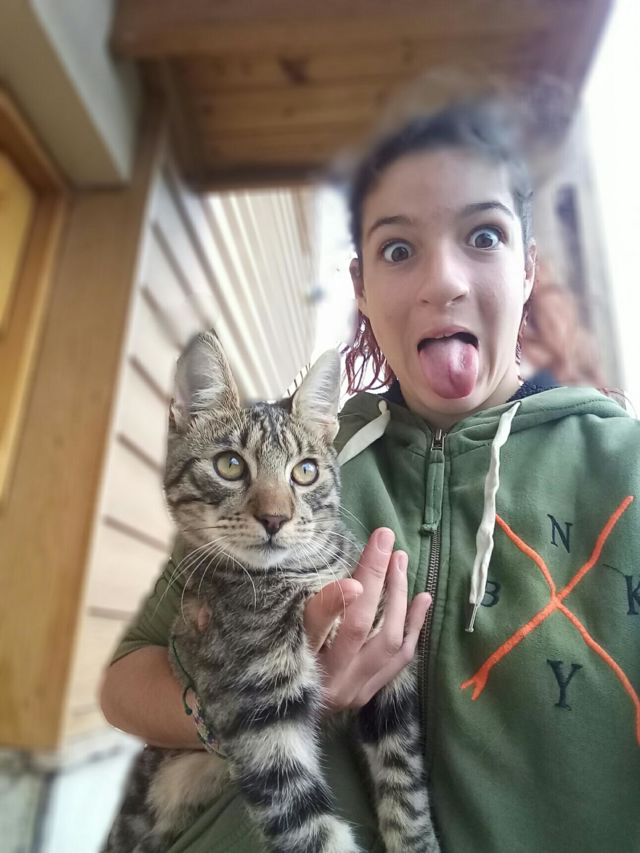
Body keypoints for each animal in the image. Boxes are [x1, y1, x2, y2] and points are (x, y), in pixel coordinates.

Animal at [103, 332, 439, 853]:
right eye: (229, 465)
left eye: (305, 471)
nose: (275, 517)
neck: (301, 574)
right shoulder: (258, 701)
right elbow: (307, 825)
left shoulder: (392, 683)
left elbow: (404, 784)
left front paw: (416, 839)